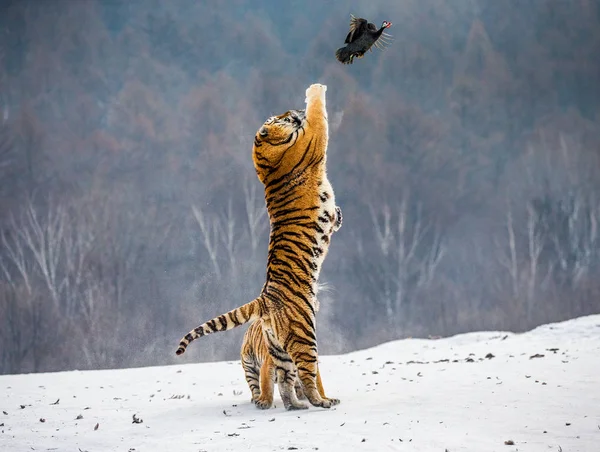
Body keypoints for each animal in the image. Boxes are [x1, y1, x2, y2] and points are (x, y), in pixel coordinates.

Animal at [176, 82, 340, 410]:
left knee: (287, 382)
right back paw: (321, 402)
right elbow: (319, 114)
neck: (265, 156)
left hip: (278, 348)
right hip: (305, 335)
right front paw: (315, 89)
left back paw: (297, 405)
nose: (293, 111)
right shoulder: (314, 137)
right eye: (281, 116)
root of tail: (264, 298)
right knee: (306, 374)